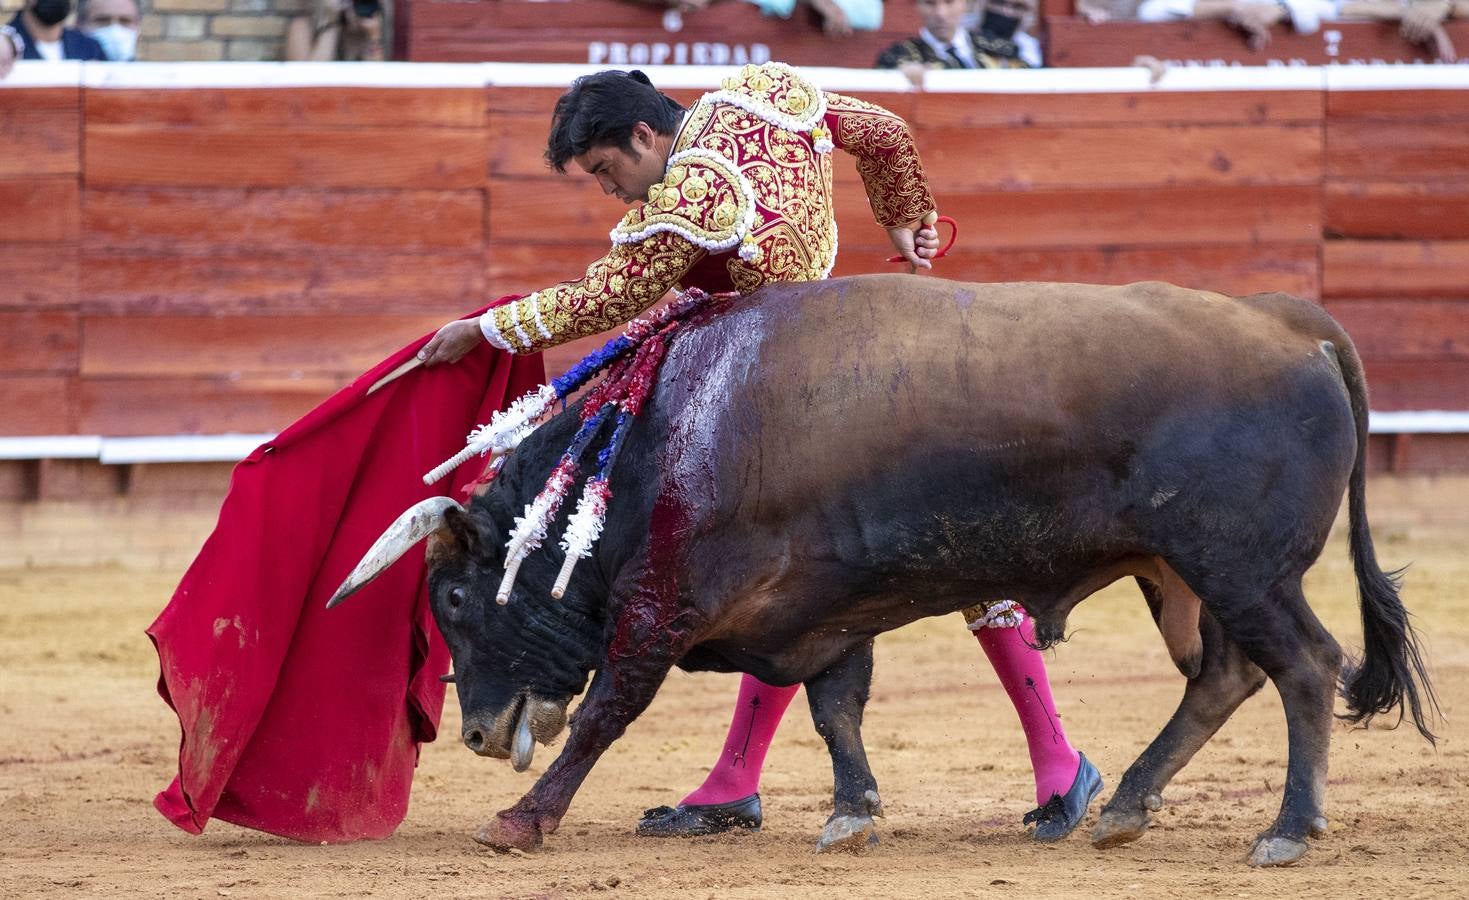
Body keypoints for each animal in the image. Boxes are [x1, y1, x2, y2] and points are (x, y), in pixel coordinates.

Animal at [327, 273, 1427, 863]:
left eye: (454, 595)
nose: (473, 734)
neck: (657, 437)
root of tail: (1291, 321)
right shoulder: (818, 604)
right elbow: (833, 707)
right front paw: (851, 814)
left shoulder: (662, 608)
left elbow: (608, 712)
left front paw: (518, 821)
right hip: (1179, 575)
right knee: (1224, 675)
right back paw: (1117, 807)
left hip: (1241, 569)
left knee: (1302, 667)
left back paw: (1286, 828)